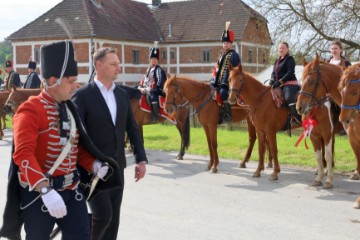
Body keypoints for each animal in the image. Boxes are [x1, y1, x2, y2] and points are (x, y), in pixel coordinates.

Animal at [296, 54, 344, 189]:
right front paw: (319, 178)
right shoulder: (314, 135)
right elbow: (318, 156)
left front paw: (329, 180)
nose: (299, 107)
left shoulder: (327, 134)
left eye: (310, 81)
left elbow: (327, 155)